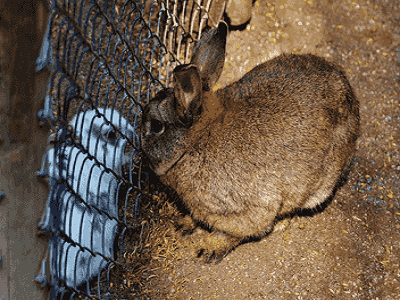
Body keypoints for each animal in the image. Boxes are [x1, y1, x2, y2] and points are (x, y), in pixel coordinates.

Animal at [140, 21, 360, 262]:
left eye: (156, 126)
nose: (142, 155)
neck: (194, 141)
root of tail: (350, 94)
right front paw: (183, 224)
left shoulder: (246, 210)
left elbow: (235, 232)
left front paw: (209, 248)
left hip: (321, 183)